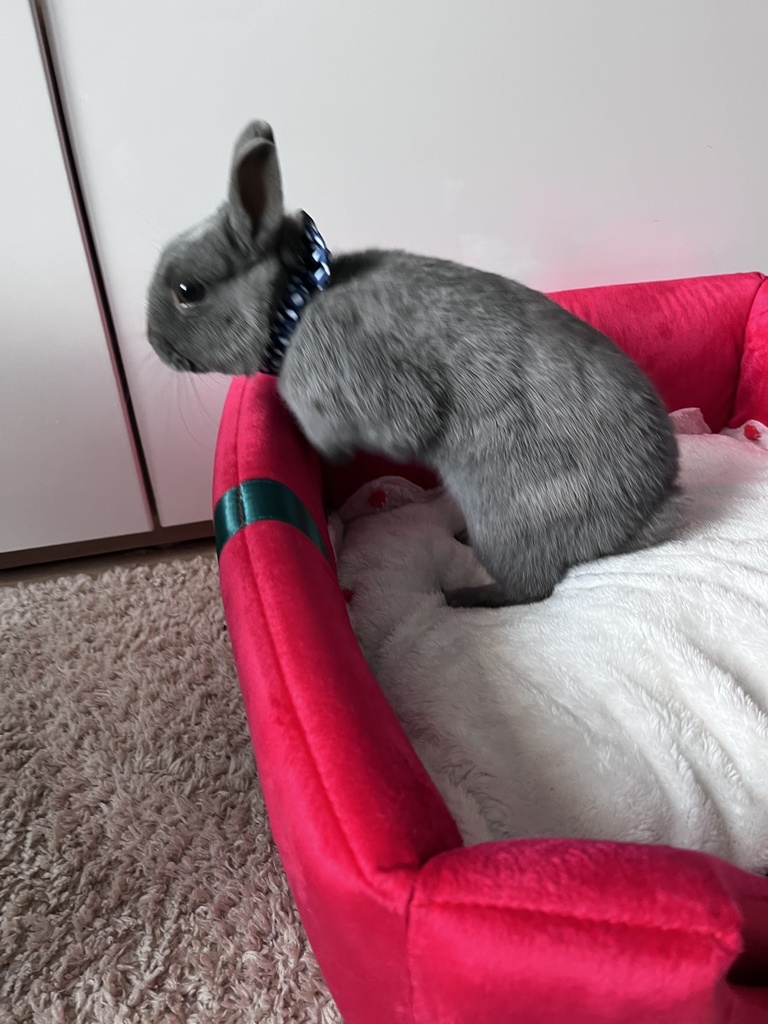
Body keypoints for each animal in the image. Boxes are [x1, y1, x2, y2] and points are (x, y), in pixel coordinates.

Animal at [147, 120, 682, 608]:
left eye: (188, 290)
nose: (154, 344)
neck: (295, 305)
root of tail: (648, 513)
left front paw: (320, 447)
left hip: (505, 518)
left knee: (531, 588)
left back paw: (462, 597)